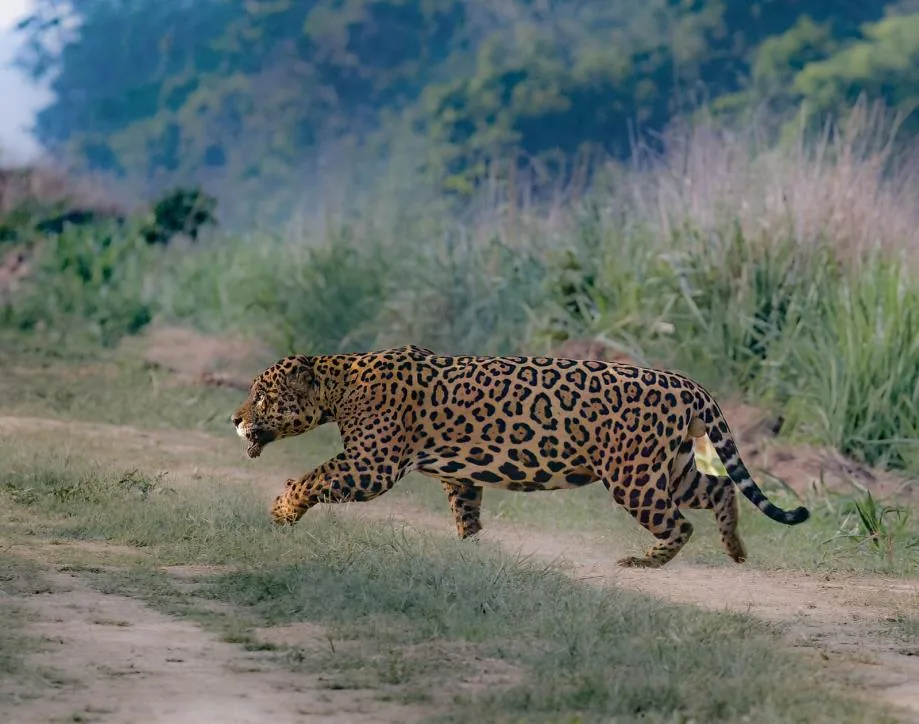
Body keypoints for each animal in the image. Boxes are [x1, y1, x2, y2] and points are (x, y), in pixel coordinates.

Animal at [231, 344, 809, 568]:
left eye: (260, 396)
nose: (234, 420)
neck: (338, 383)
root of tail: (688, 384)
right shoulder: (456, 476)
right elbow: (465, 510)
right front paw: (471, 551)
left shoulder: (371, 466)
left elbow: (311, 476)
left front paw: (282, 511)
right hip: (671, 466)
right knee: (721, 488)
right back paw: (735, 548)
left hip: (632, 475)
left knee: (679, 525)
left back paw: (643, 561)